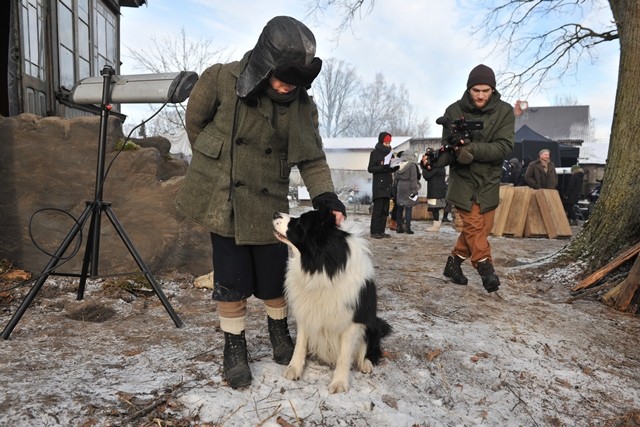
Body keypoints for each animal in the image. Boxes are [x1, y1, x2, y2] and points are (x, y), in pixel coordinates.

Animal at [272, 209, 390, 392]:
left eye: (301, 222)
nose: (276, 213)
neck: (324, 268)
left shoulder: (352, 321)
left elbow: (344, 355)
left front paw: (339, 382)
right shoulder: (305, 311)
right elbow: (300, 344)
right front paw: (294, 368)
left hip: (371, 326)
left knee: (370, 350)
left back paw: (365, 363)